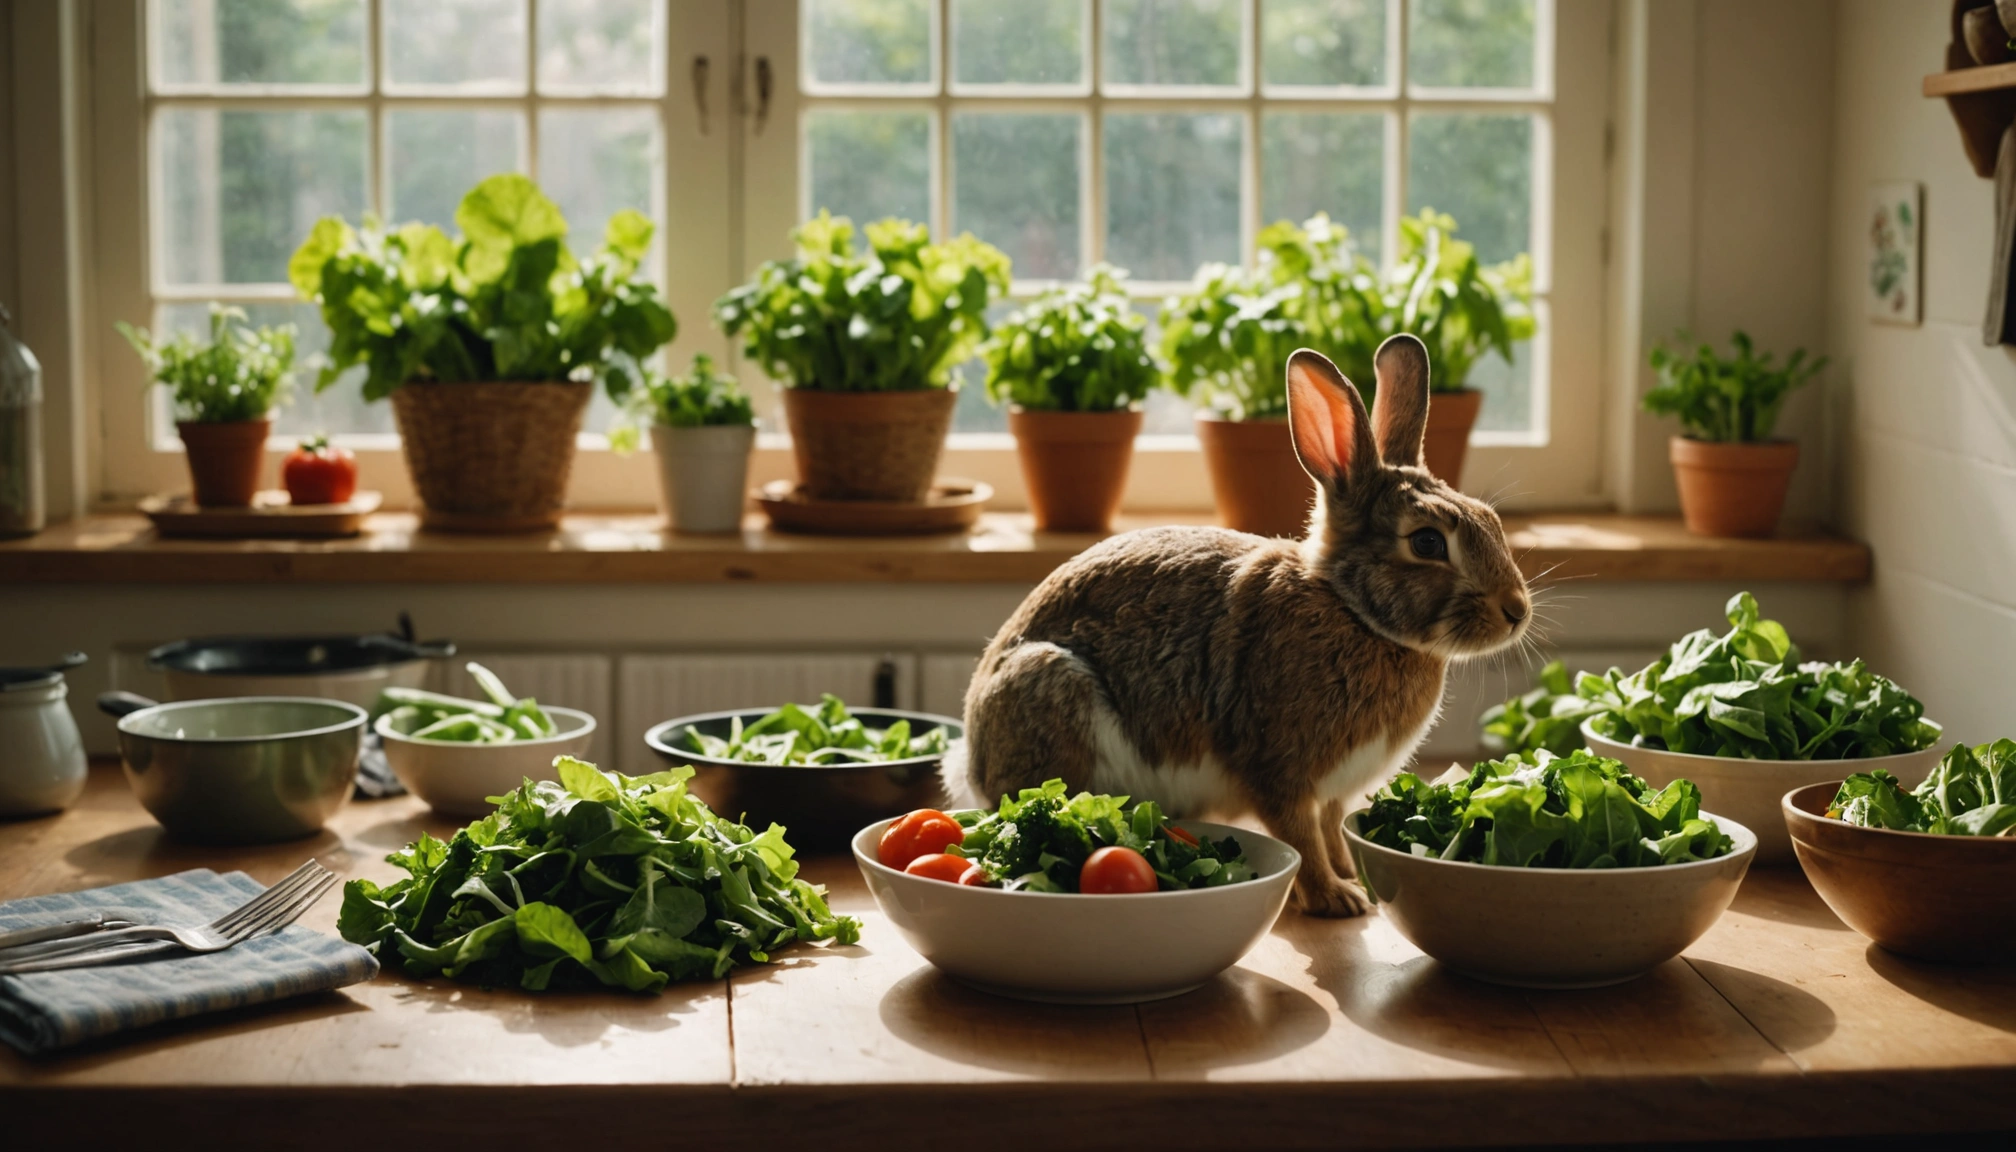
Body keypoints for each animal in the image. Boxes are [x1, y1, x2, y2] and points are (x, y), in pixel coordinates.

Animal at [944, 335, 1532, 917]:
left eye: (1490, 519)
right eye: (1427, 542)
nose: (1517, 611)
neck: (1353, 611)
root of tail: (971, 763)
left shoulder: (1333, 791)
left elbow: (1329, 830)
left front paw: (1351, 877)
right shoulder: (1277, 769)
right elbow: (1300, 838)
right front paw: (1336, 898)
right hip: (1052, 693)